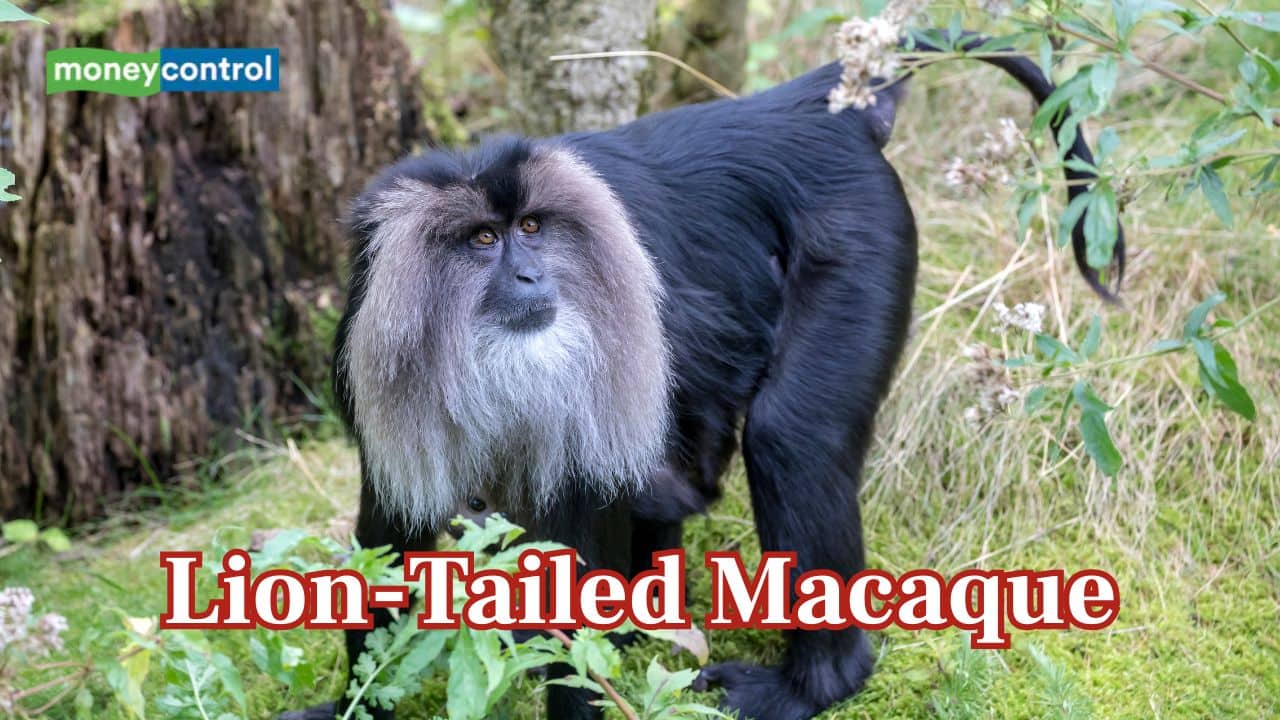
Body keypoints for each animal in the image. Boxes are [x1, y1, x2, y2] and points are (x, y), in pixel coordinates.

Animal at [282, 33, 1123, 720]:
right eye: (482, 239)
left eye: (531, 229)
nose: (529, 277)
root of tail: (800, 107)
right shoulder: (373, 362)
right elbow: (387, 536)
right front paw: (356, 706)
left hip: (858, 242)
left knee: (791, 439)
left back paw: (812, 684)